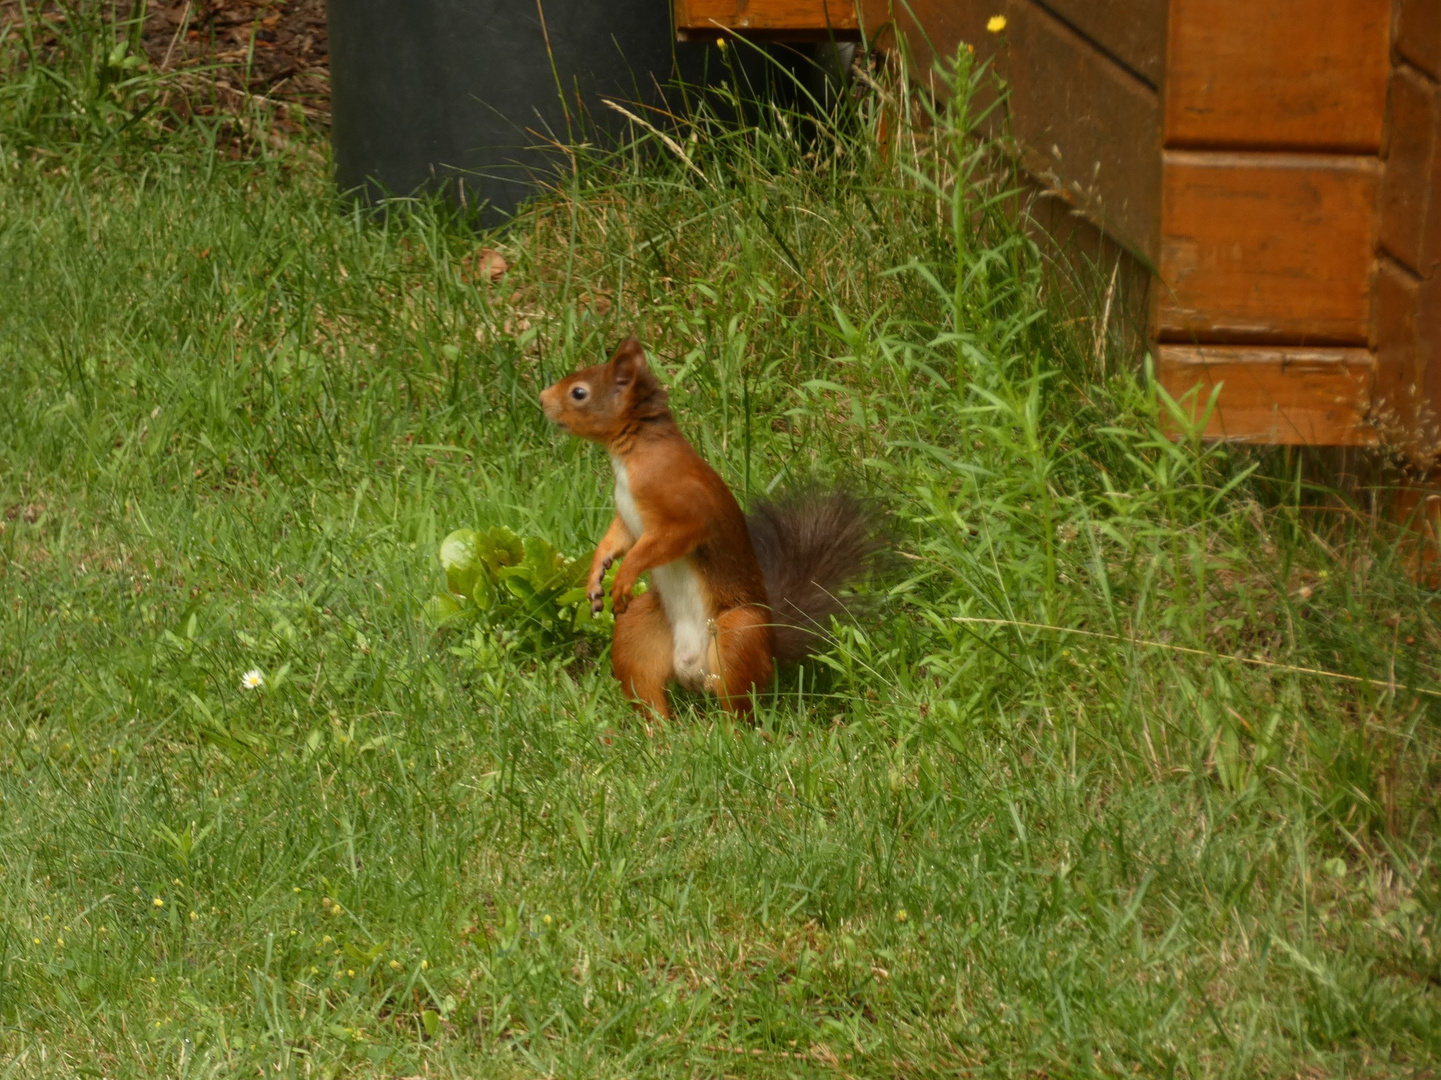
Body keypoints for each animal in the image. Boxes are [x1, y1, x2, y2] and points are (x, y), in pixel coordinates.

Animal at [541, 337, 876, 715]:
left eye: (579, 393)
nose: (542, 399)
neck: (632, 454)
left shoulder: (683, 508)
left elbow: (665, 541)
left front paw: (625, 574)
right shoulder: (627, 517)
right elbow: (616, 539)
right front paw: (597, 575)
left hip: (738, 632)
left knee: (738, 702)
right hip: (638, 629)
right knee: (646, 688)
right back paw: (654, 725)